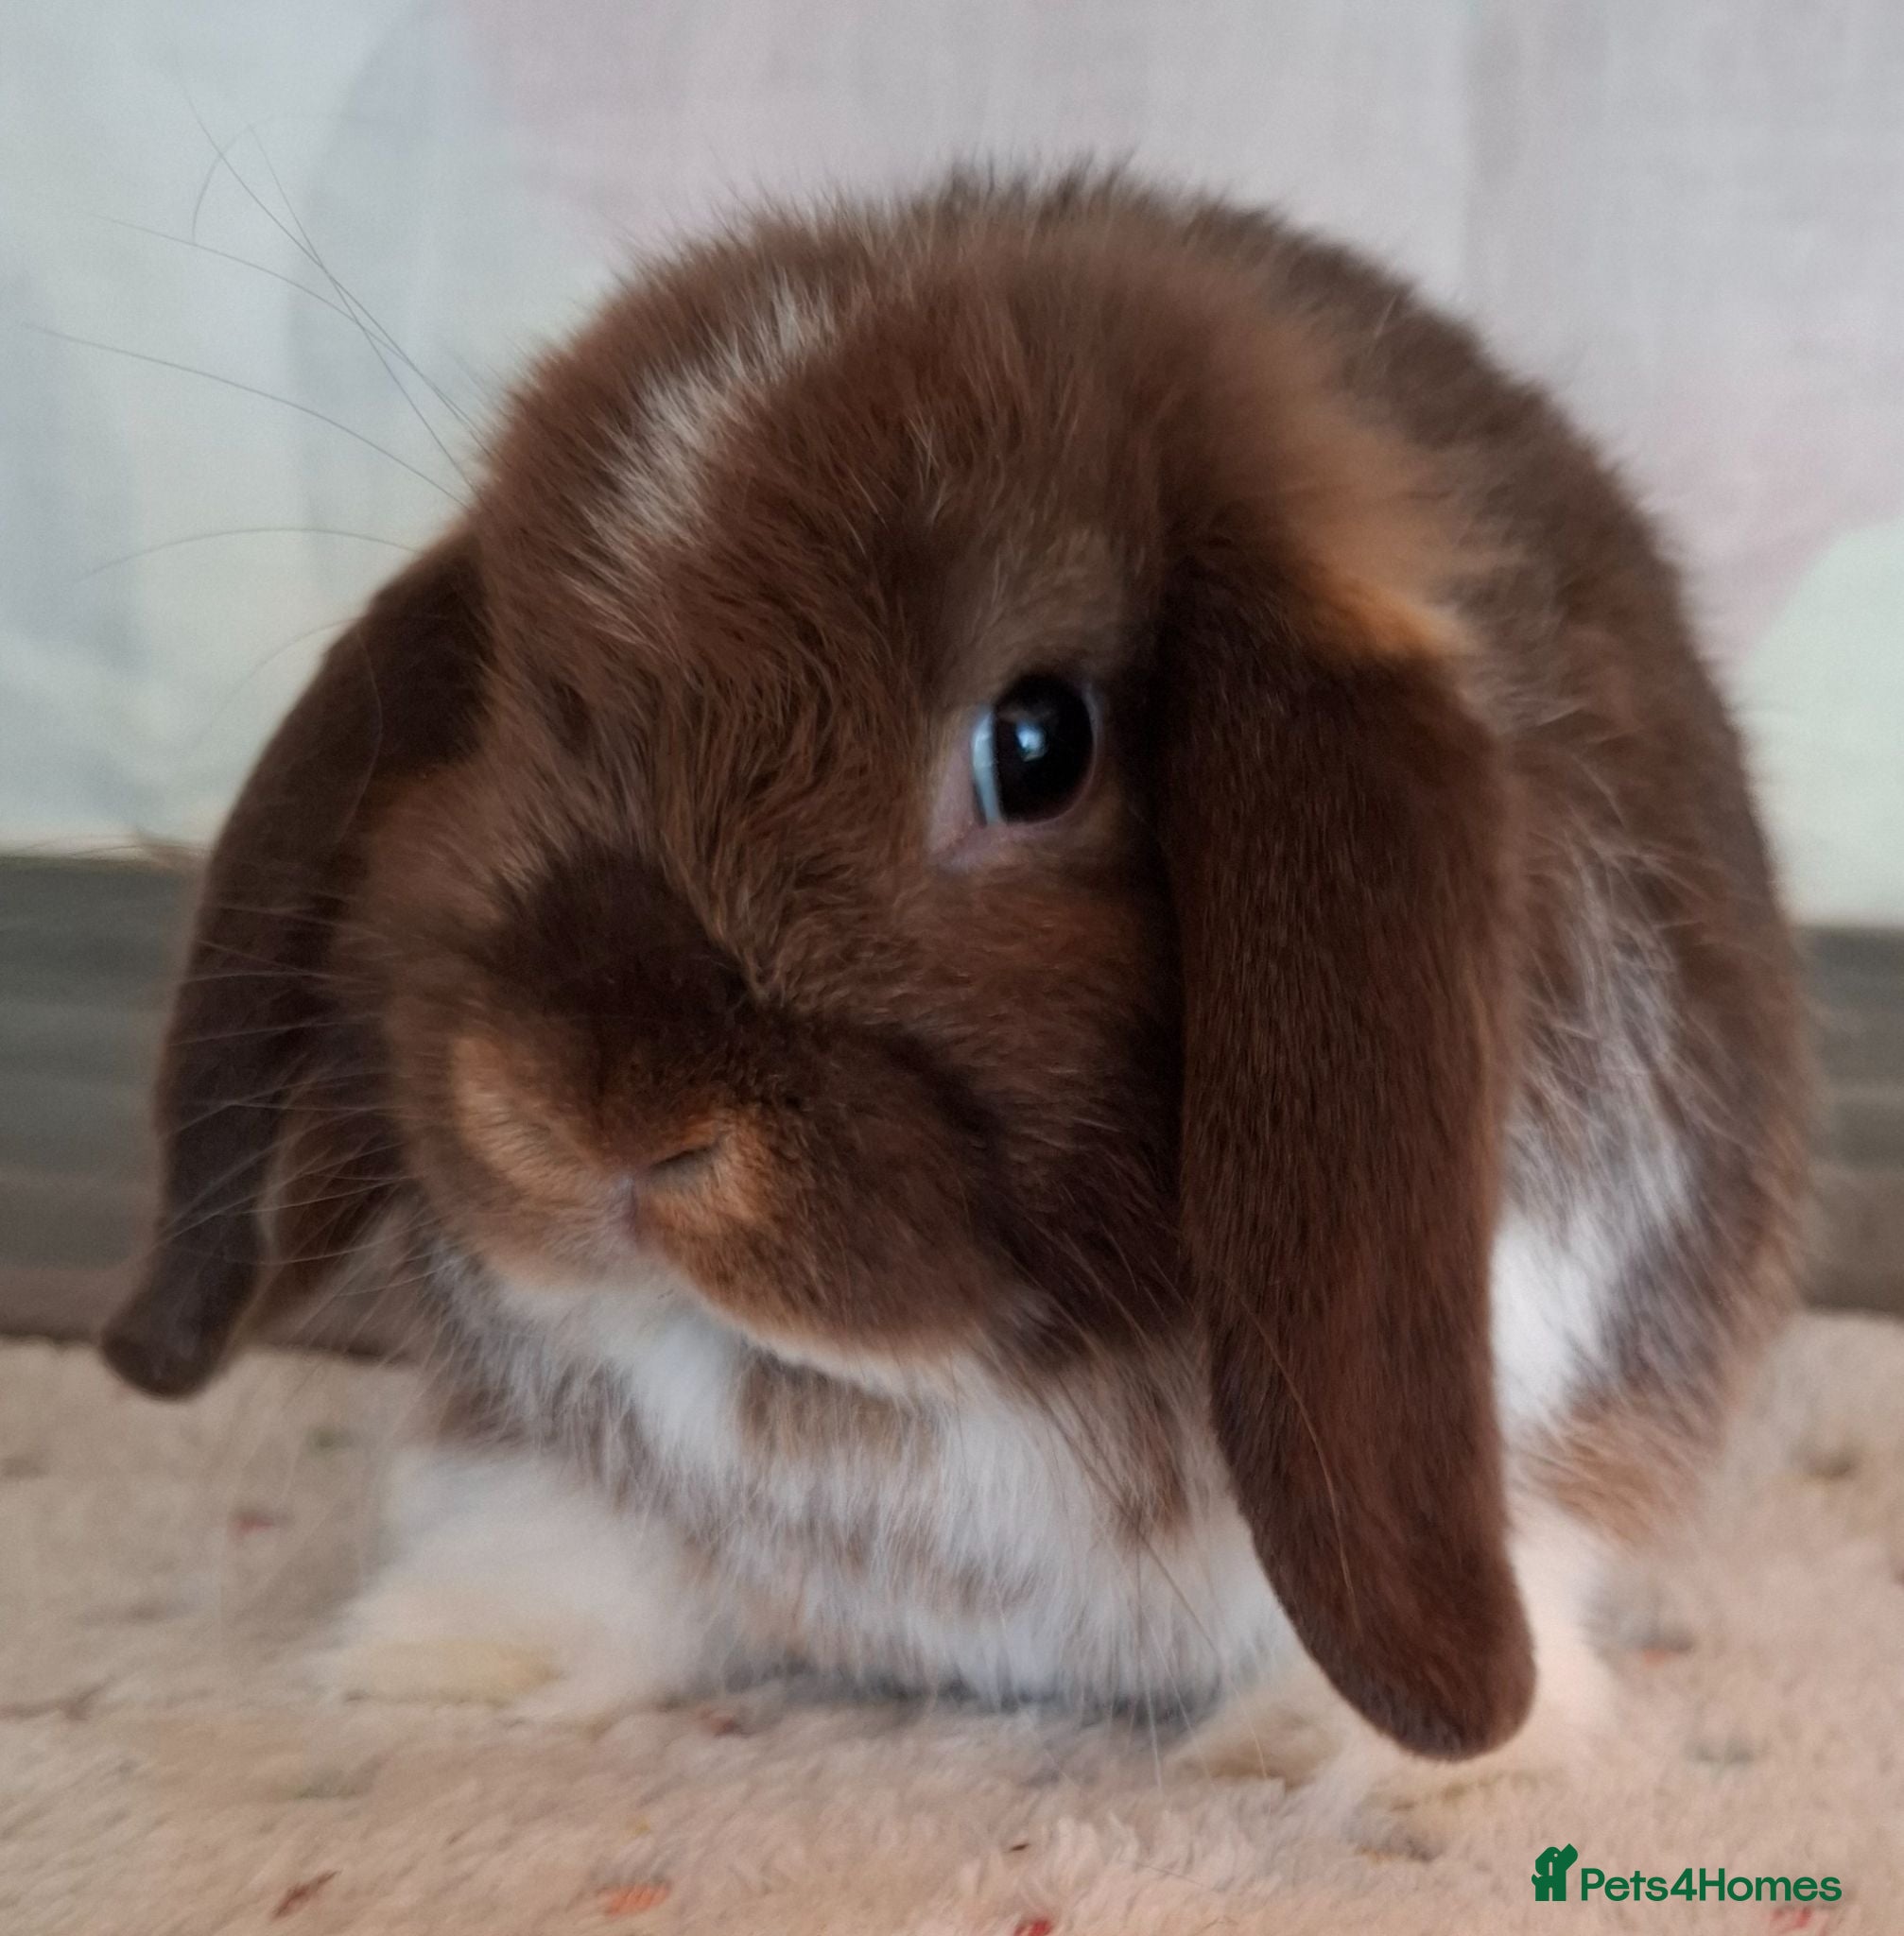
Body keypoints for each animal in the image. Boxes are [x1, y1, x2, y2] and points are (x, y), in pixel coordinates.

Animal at [101, 170, 1808, 1778]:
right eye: (509, 712)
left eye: (1035, 745)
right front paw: (448, 1653)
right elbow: (581, 1542)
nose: (589, 1104)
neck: (911, 1394)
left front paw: (1371, 1763)